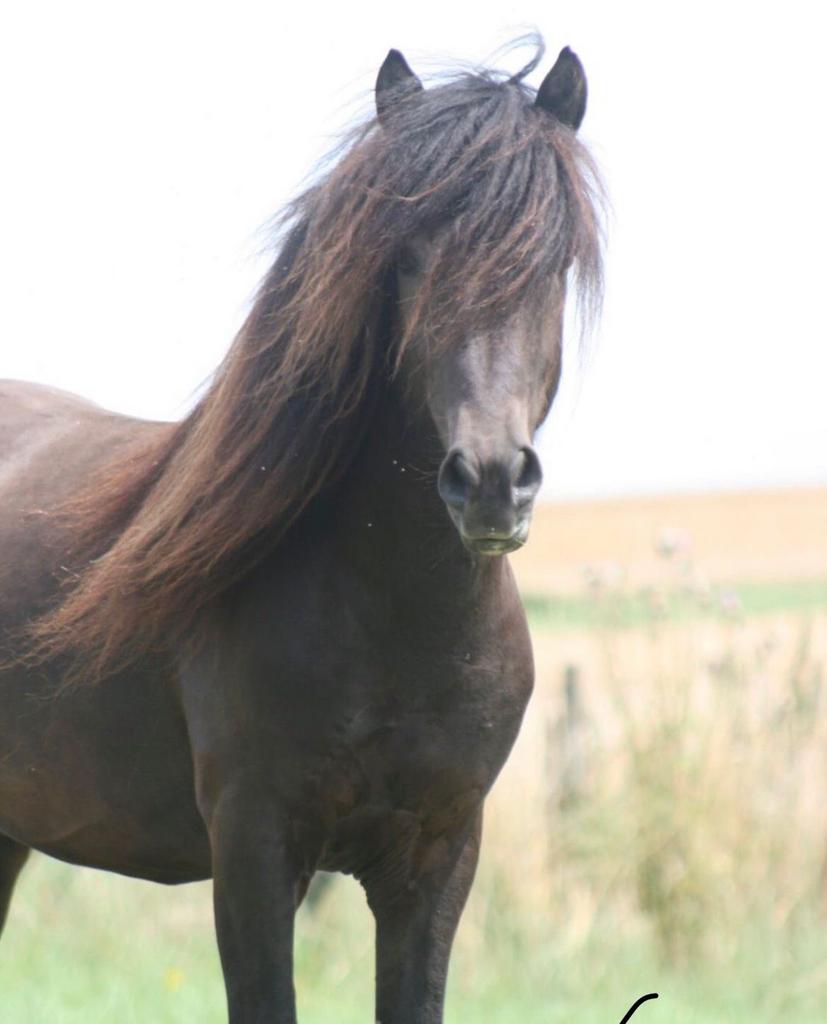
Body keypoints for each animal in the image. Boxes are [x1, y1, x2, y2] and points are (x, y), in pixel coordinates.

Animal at [0, 42, 601, 1023]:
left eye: (550, 262)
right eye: (406, 257)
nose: (489, 483)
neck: (394, 615)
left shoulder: (435, 861)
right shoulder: (252, 855)